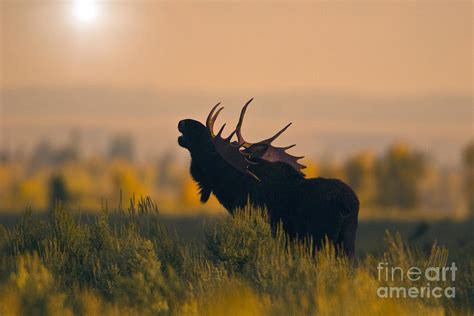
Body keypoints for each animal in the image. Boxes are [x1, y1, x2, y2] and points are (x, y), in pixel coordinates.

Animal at [178, 100, 360, 258]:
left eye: (211, 145)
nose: (184, 122)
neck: (234, 189)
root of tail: (348, 204)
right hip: (347, 242)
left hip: (321, 238)